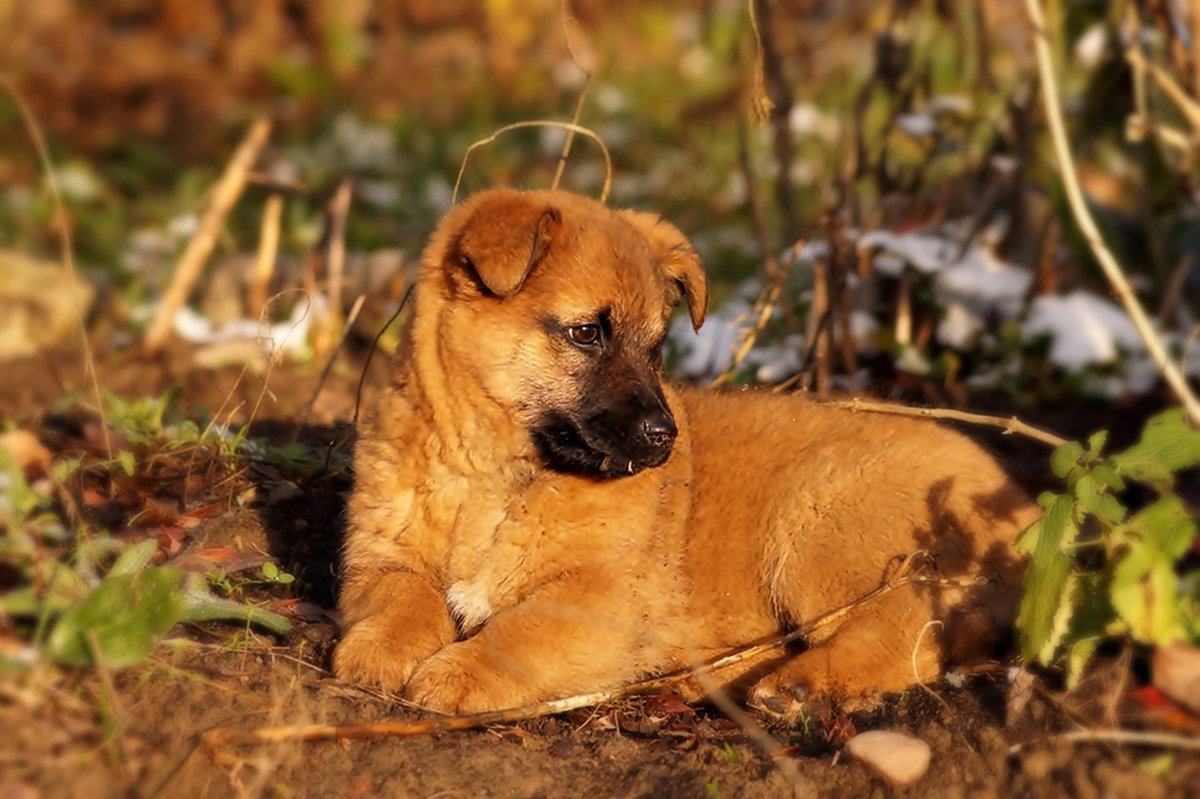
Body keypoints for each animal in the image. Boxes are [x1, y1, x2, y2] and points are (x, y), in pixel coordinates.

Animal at [331, 187, 1041, 710]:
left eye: (656, 348)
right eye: (586, 333)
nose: (664, 438)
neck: (494, 477)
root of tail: (1029, 511)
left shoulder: (600, 599)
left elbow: (518, 631)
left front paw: (457, 672)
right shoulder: (377, 562)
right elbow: (405, 599)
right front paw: (376, 649)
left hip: (817, 530)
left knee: (910, 630)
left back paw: (799, 684)